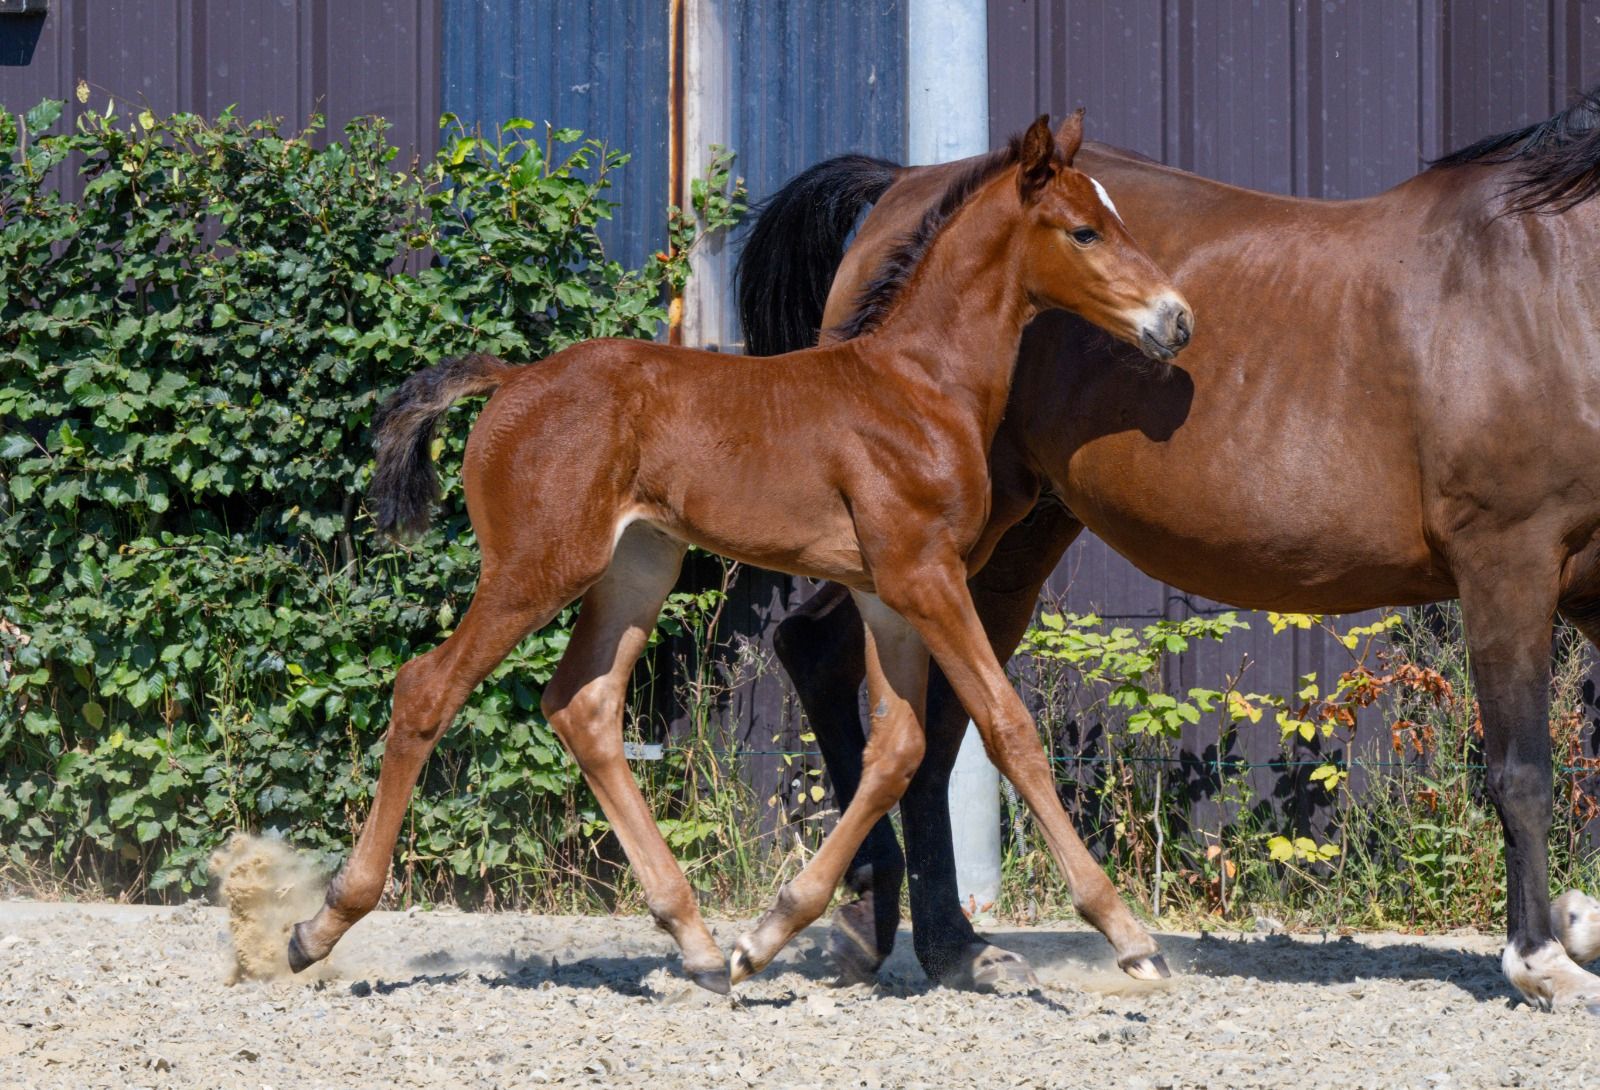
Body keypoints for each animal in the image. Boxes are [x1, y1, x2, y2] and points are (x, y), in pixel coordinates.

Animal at [283, 114, 1194, 992]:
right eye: (1084, 230)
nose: (1177, 319)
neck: (917, 387)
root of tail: (512, 380)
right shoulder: (925, 577)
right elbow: (1008, 729)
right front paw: (1130, 939)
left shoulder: (887, 589)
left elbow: (896, 750)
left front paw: (766, 934)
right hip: (538, 567)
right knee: (427, 688)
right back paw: (318, 924)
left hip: (638, 565)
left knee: (584, 707)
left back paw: (695, 943)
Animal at [738, 90, 1600, 1011]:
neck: (1552, 284)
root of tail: (902, 188)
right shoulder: (1507, 563)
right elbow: (1521, 770)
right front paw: (1541, 959)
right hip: (931, 547)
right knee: (837, 666)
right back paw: (872, 914)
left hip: (1000, 552)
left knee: (923, 728)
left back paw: (949, 946)